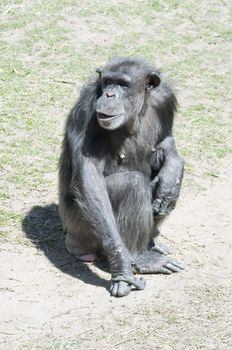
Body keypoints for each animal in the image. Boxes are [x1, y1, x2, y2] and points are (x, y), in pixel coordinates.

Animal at [59, 56, 184, 296]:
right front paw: (122, 266)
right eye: (108, 82)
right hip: (81, 228)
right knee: (133, 184)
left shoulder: (166, 98)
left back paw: (152, 243)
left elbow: (166, 140)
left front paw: (172, 175)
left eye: (123, 84)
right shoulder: (86, 109)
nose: (109, 95)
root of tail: (70, 240)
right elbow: (90, 177)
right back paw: (140, 258)